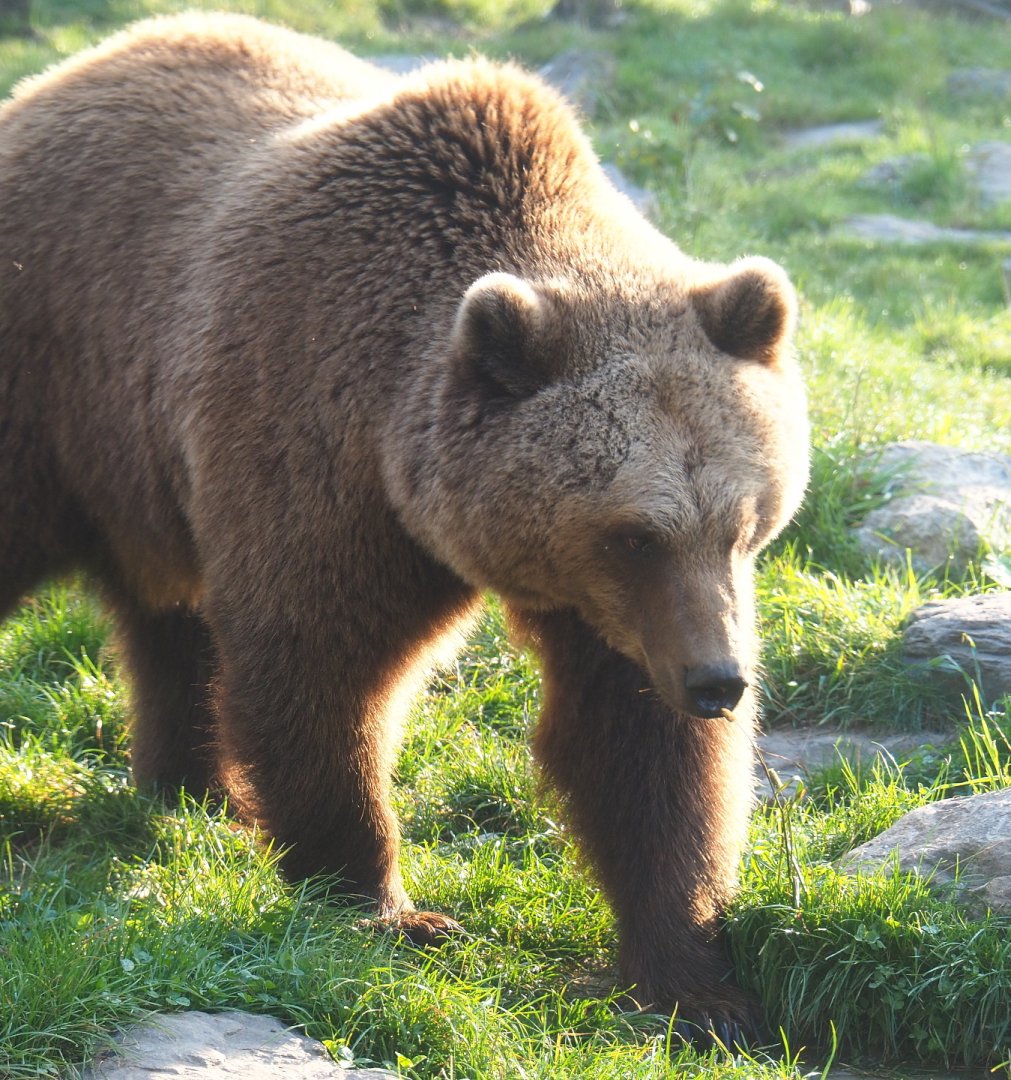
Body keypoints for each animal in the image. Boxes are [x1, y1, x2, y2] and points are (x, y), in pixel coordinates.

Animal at [0, 13, 809, 1043]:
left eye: (747, 524)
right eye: (634, 533)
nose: (718, 681)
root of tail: (54, 81)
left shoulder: (619, 614)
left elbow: (637, 749)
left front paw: (698, 981)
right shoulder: (314, 451)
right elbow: (319, 668)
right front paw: (384, 904)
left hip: (143, 463)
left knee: (172, 621)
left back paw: (194, 789)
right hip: (53, 379)